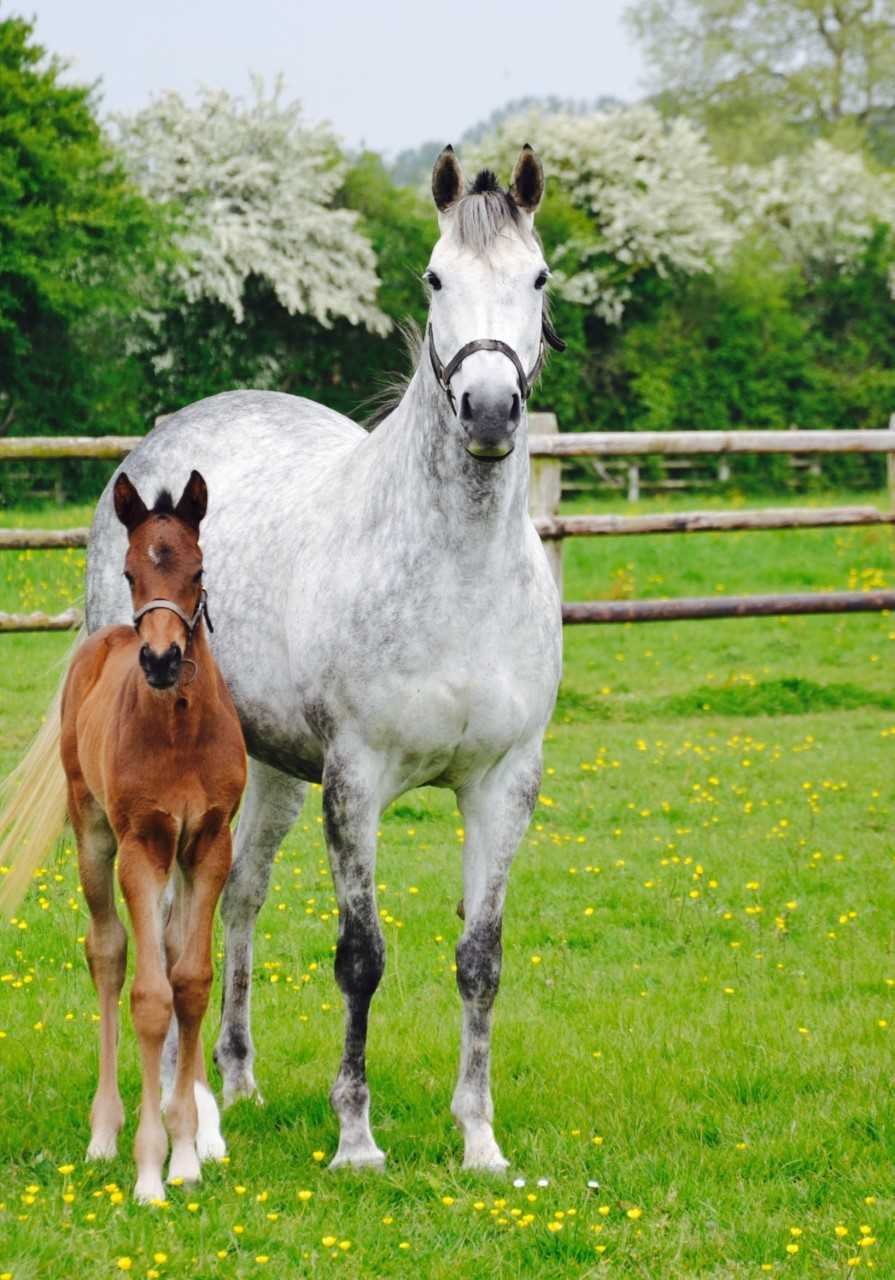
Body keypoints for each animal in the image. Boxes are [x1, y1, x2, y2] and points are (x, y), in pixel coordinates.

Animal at [3, 144, 562, 1174]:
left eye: (537, 278)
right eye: (434, 277)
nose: (488, 409)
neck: (453, 569)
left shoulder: (504, 782)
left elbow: (480, 959)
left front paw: (479, 1139)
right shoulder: (356, 779)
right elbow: (360, 955)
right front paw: (356, 1139)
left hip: (263, 775)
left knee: (235, 904)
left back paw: (232, 1084)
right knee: (165, 921)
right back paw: (175, 1103)